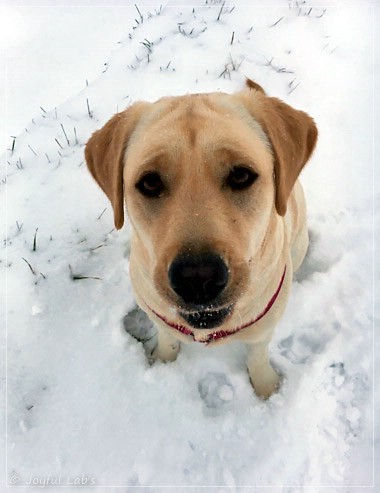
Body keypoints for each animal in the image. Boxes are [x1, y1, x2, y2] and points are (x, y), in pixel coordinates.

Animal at [86, 79, 318, 398]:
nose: (198, 279)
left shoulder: (263, 327)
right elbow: (166, 337)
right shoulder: (158, 315)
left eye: (242, 176)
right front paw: (164, 359)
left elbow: (258, 356)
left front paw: (266, 388)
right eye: (150, 182)